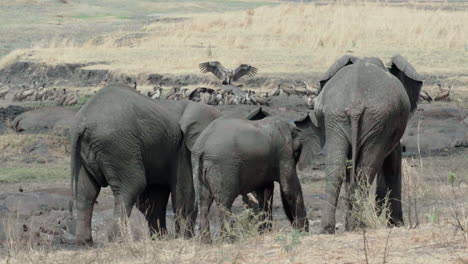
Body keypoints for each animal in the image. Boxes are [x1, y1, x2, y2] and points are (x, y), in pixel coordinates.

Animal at [66, 83, 222, 245]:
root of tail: (82, 120)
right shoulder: (183, 148)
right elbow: (185, 193)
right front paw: (184, 239)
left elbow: (154, 197)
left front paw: (161, 239)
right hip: (117, 145)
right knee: (130, 187)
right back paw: (118, 240)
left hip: (86, 151)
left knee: (86, 192)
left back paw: (85, 242)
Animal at [314, 53, 424, 233]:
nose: (378, 207)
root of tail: (355, 105)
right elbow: (394, 163)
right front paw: (397, 224)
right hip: (377, 122)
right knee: (365, 170)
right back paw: (359, 226)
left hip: (337, 118)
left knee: (337, 169)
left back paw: (329, 229)